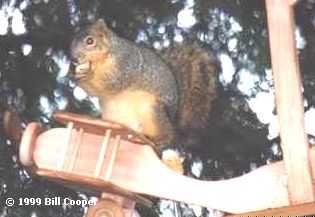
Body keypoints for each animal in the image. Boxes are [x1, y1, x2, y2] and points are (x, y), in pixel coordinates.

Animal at [70, 18, 218, 150]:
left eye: (90, 41)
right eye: (72, 41)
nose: (74, 59)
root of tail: (173, 119)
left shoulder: (126, 65)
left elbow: (113, 83)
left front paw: (88, 76)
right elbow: (94, 91)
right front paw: (73, 75)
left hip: (153, 110)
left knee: (168, 134)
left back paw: (161, 139)